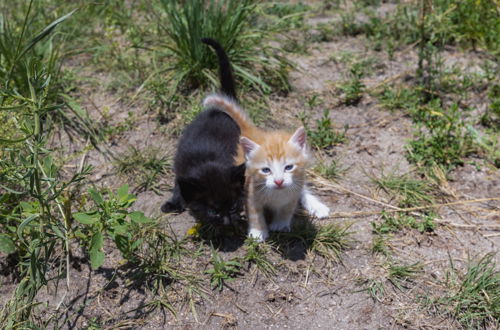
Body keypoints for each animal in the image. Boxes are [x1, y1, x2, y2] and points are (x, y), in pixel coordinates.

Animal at [161, 38, 245, 224]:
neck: (206, 162)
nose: (226, 222)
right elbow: (178, 187)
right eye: (213, 211)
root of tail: (218, 109)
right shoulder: (181, 169)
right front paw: (174, 203)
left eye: (233, 206)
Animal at [201, 94, 330, 241]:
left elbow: (287, 208)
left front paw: (280, 224)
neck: (277, 194)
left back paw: (317, 206)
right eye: (266, 170)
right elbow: (255, 214)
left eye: (288, 167)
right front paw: (258, 232)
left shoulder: (292, 193)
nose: (279, 181)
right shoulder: (250, 192)